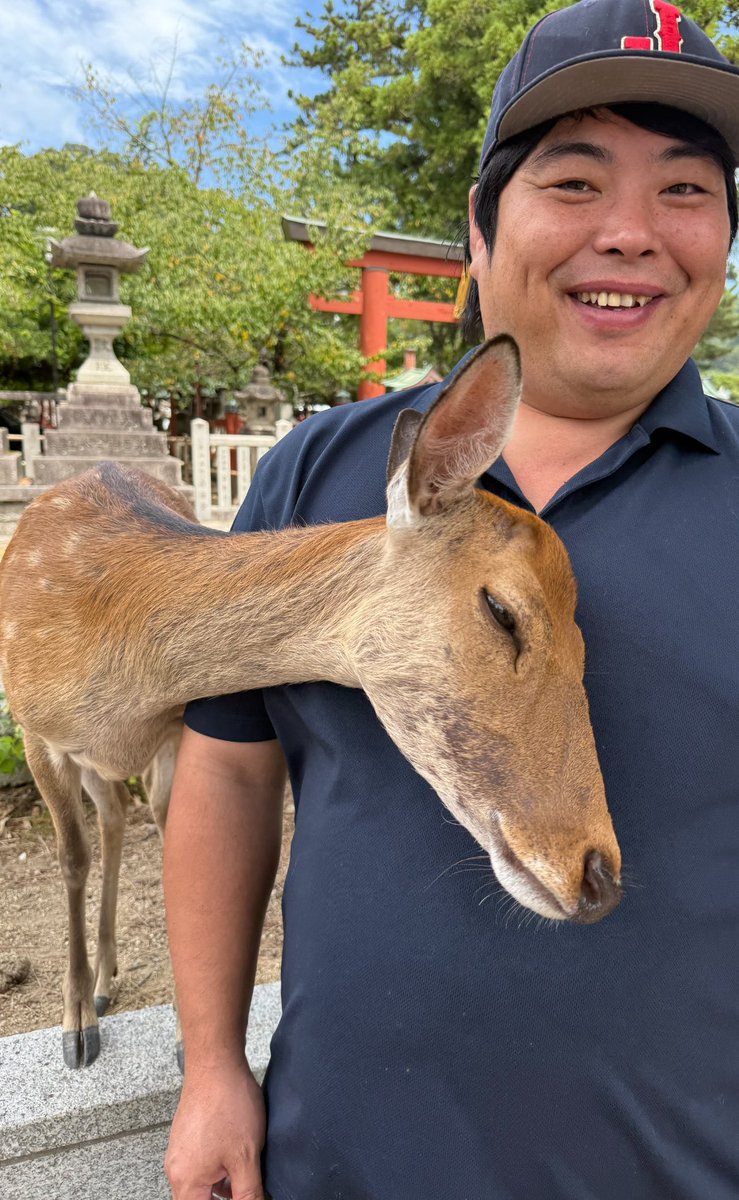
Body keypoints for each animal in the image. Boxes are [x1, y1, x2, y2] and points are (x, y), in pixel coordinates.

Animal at [0, 335, 622, 1071]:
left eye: (583, 643)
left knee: (122, 816)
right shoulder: (33, 732)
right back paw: (95, 994)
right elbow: (72, 859)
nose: (598, 877)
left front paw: (182, 1038)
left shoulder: (175, 732)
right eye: (503, 611)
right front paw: (76, 1032)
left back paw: (111, 976)